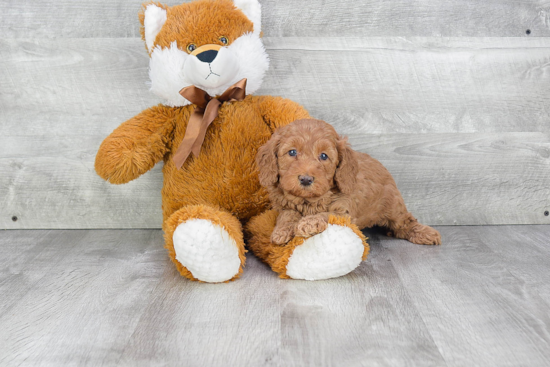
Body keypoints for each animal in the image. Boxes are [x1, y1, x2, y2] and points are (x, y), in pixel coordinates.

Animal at [256, 119, 442, 247]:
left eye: (323, 156)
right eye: (292, 152)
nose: (306, 179)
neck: (308, 201)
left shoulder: (344, 212)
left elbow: (326, 214)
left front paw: (309, 222)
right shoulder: (284, 206)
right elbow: (287, 215)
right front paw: (281, 231)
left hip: (393, 207)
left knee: (405, 222)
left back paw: (426, 233)